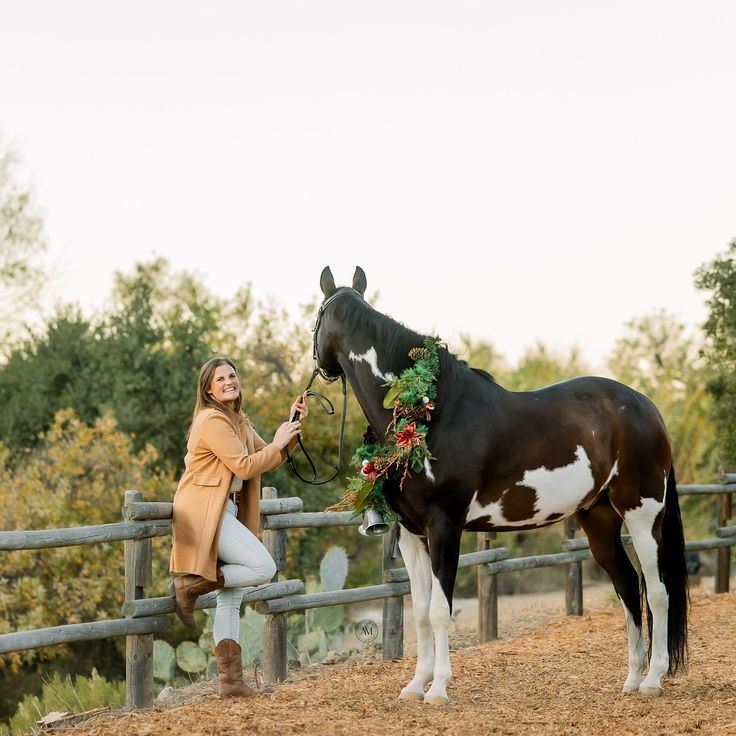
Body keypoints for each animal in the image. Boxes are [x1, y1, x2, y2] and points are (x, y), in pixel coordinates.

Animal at [314, 266, 688, 705]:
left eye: (315, 318)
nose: (323, 368)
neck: (429, 411)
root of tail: (648, 409)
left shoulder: (445, 527)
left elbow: (440, 609)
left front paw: (438, 689)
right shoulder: (410, 534)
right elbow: (420, 611)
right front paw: (415, 686)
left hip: (643, 514)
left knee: (658, 591)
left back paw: (653, 680)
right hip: (598, 520)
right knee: (628, 587)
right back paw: (631, 679)